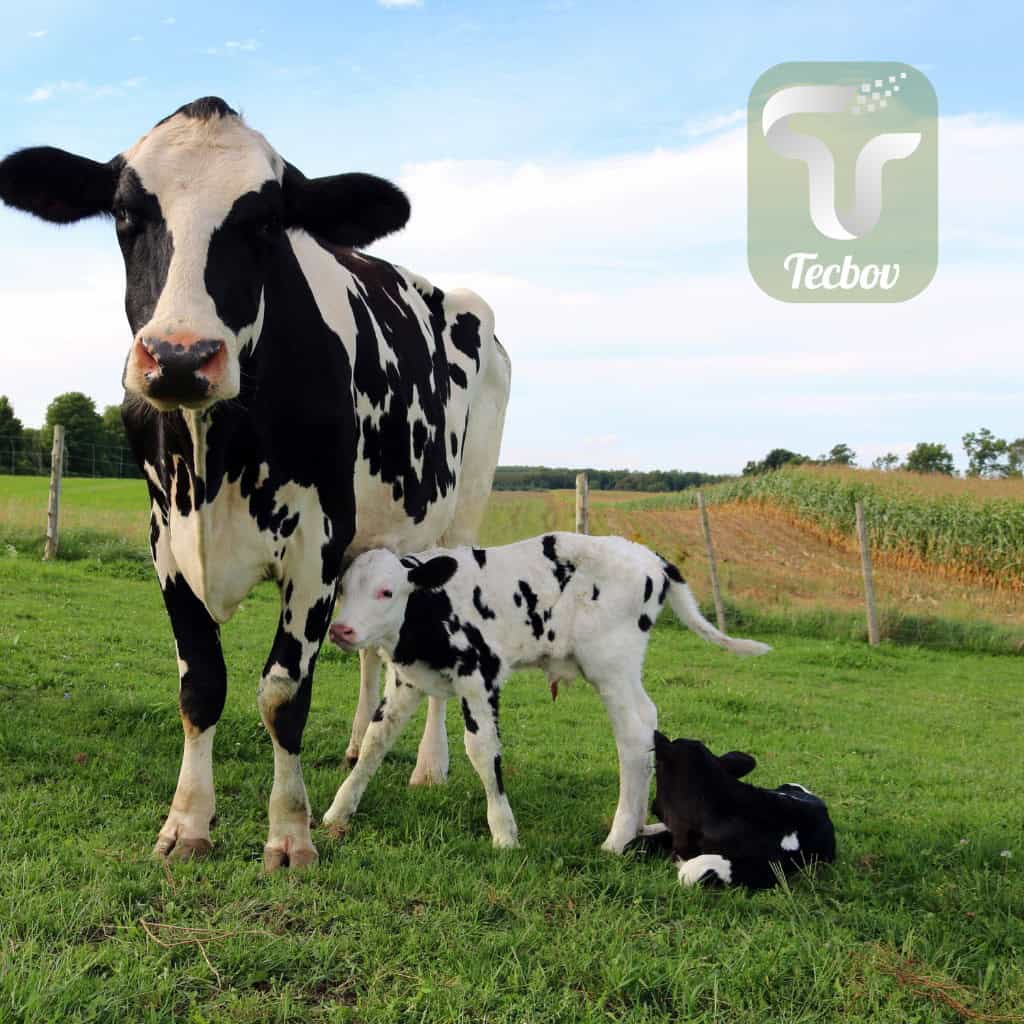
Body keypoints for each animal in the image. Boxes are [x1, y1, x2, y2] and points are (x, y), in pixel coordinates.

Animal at [0, 96, 512, 868]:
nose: (181, 357)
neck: (215, 454)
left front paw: (291, 834)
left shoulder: (316, 544)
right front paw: (187, 824)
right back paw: (358, 743)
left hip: (459, 516)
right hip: (378, 541)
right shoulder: (165, 539)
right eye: (124, 214)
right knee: (372, 652)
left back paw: (430, 765)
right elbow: (201, 686)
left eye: (267, 222)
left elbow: (282, 695)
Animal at [319, 532, 770, 851]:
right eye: (343, 588)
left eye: (387, 591)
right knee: (649, 720)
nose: (341, 630)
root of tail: (649, 557)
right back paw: (638, 825)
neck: (431, 608)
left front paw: (504, 832)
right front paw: (339, 811)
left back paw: (618, 838)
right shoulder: (407, 680)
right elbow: (375, 740)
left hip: (611, 665)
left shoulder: (481, 676)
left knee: (634, 735)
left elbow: (482, 750)